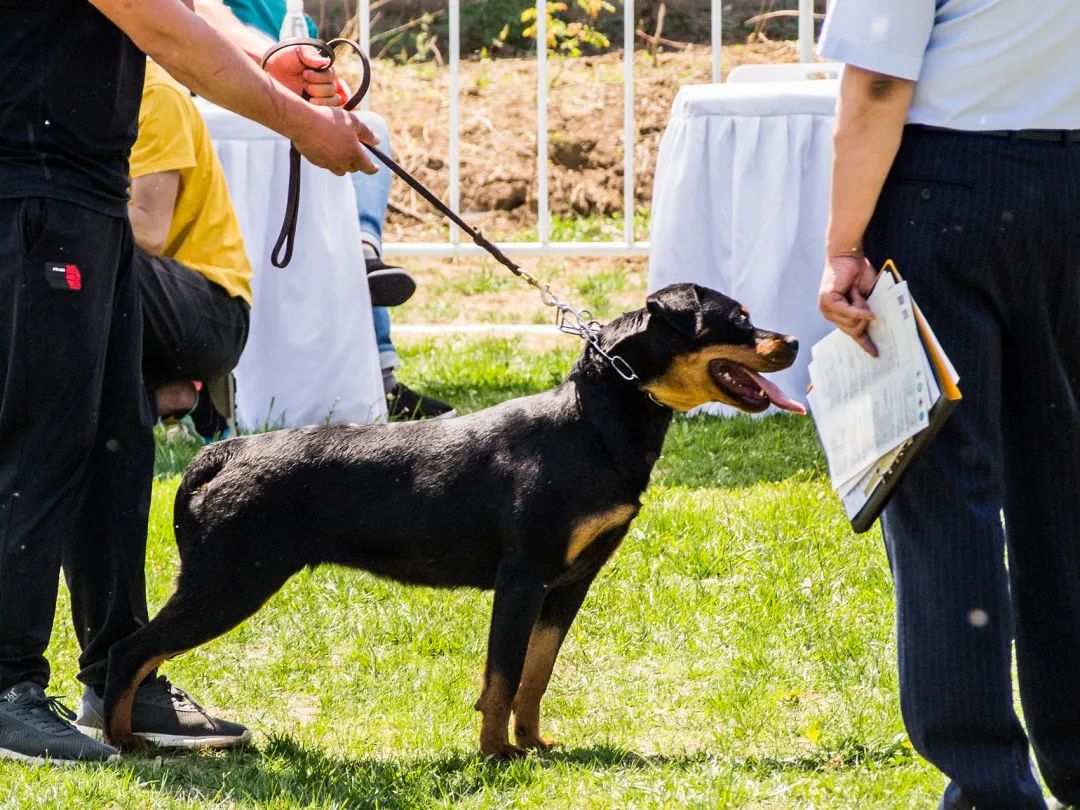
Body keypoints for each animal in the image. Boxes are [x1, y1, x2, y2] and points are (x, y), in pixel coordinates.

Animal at [103, 282, 803, 760]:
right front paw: (498, 755)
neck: (591, 426)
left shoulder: (567, 585)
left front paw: (534, 745)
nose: (794, 340)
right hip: (229, 583)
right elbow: (502, 676)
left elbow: (535, 674)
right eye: (737, 320)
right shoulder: (522, 578)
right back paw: (121, 743)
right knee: (129, 650)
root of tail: (224, 453)